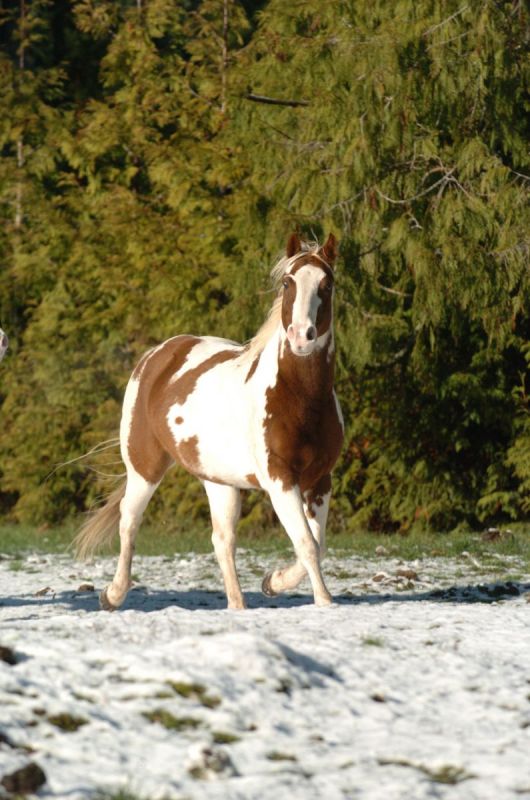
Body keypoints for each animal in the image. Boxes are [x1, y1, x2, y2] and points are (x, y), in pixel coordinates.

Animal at [74, 233, 344, 611]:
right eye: (287, 283)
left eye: (327, 283)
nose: (301, 336)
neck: (300, 400)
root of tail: (157, 355)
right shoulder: (280, 479)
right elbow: (307, 543)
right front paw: (324, 602)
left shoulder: (319, 480)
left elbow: (318, 544)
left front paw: (272, 582)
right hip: (144, 468)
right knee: (129, 521)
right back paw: (112, 594)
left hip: (220, 482)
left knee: (222, 540)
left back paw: (237, 605)